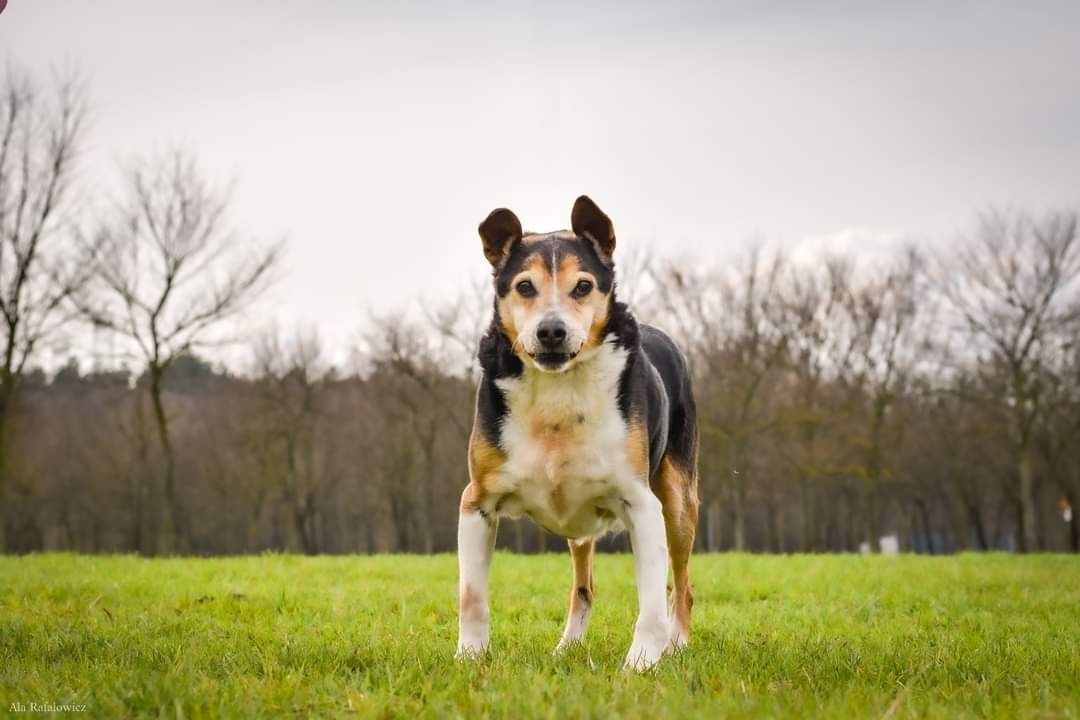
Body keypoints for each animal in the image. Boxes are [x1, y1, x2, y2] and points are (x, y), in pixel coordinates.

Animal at [455, 193, 699, 669]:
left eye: (583, 287)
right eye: (525, 287)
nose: (552, 331)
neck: (558, 389)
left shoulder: (642, 504)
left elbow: (651, 603)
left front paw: (641, 663)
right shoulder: (477, 502)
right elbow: (472, 596)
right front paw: (469, 659)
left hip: (679, 503)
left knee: (681, 587)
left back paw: (677, 645)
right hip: (581, 533)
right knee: (584, 588)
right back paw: (567, 647)